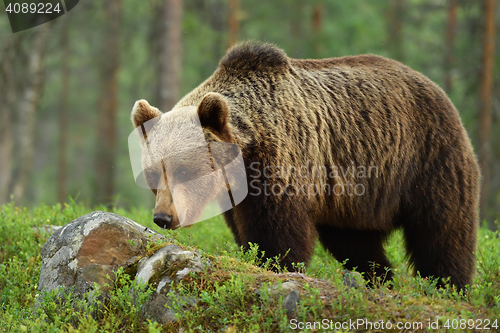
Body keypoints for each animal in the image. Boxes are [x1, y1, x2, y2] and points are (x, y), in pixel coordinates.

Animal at [132, 40, 480, 288]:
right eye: (152, 174)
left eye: (185, 170)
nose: (163, 217)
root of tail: (437, 88)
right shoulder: (237, 194)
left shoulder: (282, 164)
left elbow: (278, 232)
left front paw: (275, 264)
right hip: (354, 202)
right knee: (357, 244)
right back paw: (380, 279)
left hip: (429, 158)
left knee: (442, 232)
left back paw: (447, 286)